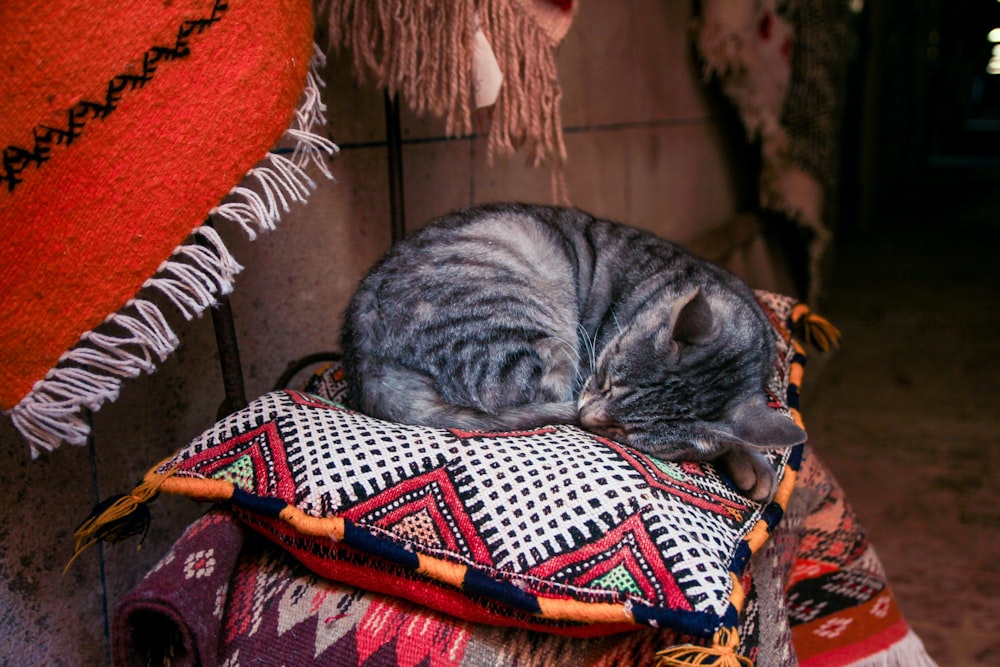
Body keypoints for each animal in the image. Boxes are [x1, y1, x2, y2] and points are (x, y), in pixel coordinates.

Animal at [340, 204, 808, 500]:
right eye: (605, 378)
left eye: (625, 432)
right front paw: (754, 463)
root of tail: (365, 358)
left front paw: (754, 459)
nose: (589, 418)